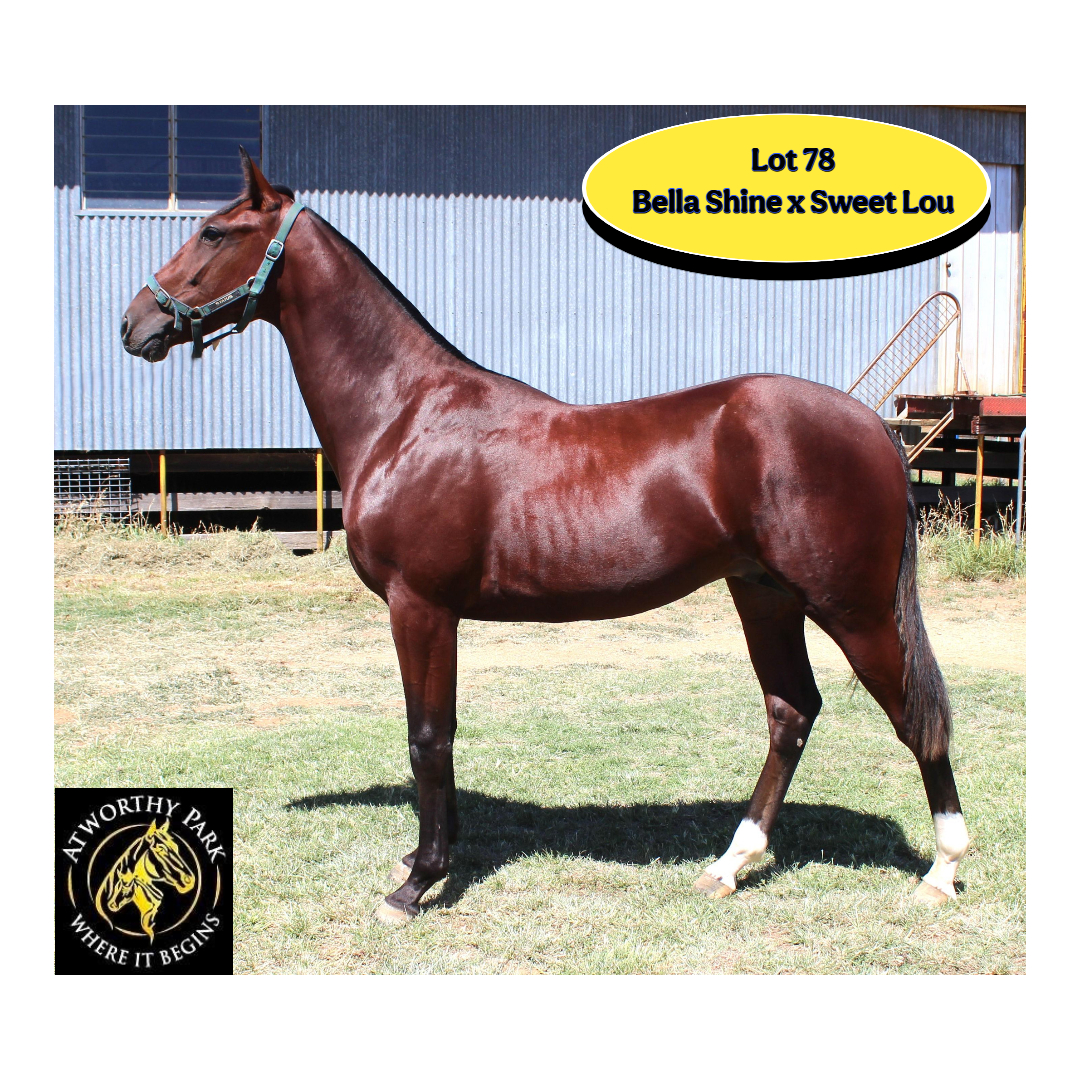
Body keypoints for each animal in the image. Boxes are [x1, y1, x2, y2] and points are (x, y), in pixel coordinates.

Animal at [121, 150, 970, 925]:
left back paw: (942, 869)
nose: (135, 324)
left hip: (852, 608)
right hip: (764, 595)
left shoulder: (420, 606)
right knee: (791, 711)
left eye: (213, 231)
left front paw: (416, 882)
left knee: (912, 716)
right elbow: (437, 733)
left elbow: (427, 735)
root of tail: (870, 425)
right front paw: (428, 859)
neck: (405, 413)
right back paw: (730, 865)